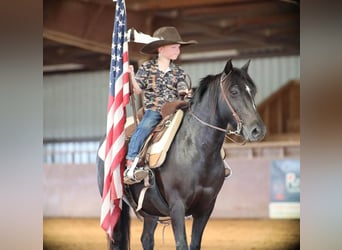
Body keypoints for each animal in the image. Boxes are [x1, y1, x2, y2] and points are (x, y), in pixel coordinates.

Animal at [96, 59, 268, 250]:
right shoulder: (177, 207)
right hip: (114, 203)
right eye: (234, 91)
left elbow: (194, 243)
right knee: (118, 238)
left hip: (150, 210)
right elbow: (181, 243)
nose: (258, 130)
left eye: (253, 91)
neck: (197, 151)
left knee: (146, 238)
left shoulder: (206, 208)